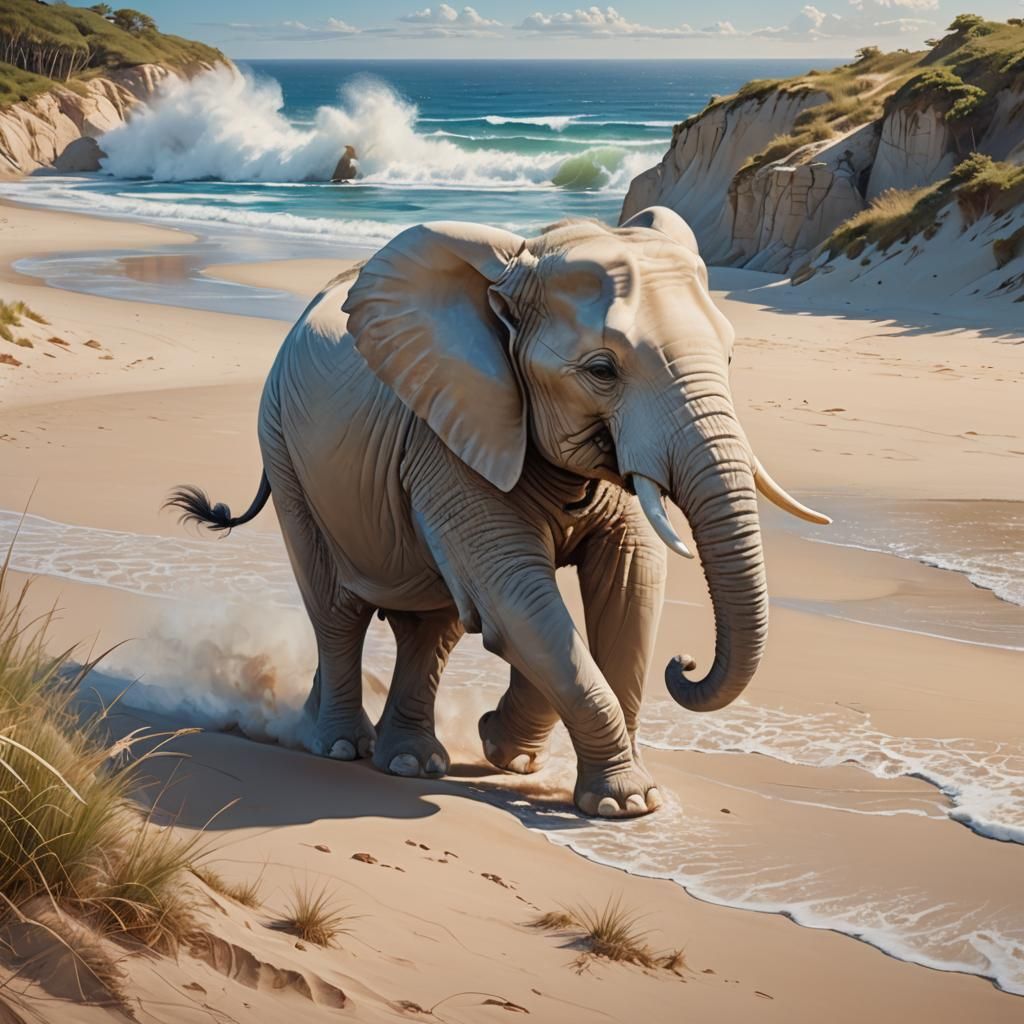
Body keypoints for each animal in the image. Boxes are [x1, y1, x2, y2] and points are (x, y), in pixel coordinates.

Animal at [168, 205, 829, 819]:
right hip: (285, 452)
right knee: (338, 611)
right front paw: (626, 804)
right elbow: (516, 598)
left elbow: (628, 584)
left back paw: (407, 761)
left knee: (431, 626)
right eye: (602, 371)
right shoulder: (446, 434)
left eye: (730, 356)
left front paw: (519, 759)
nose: (684, 663)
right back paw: (338, 747)